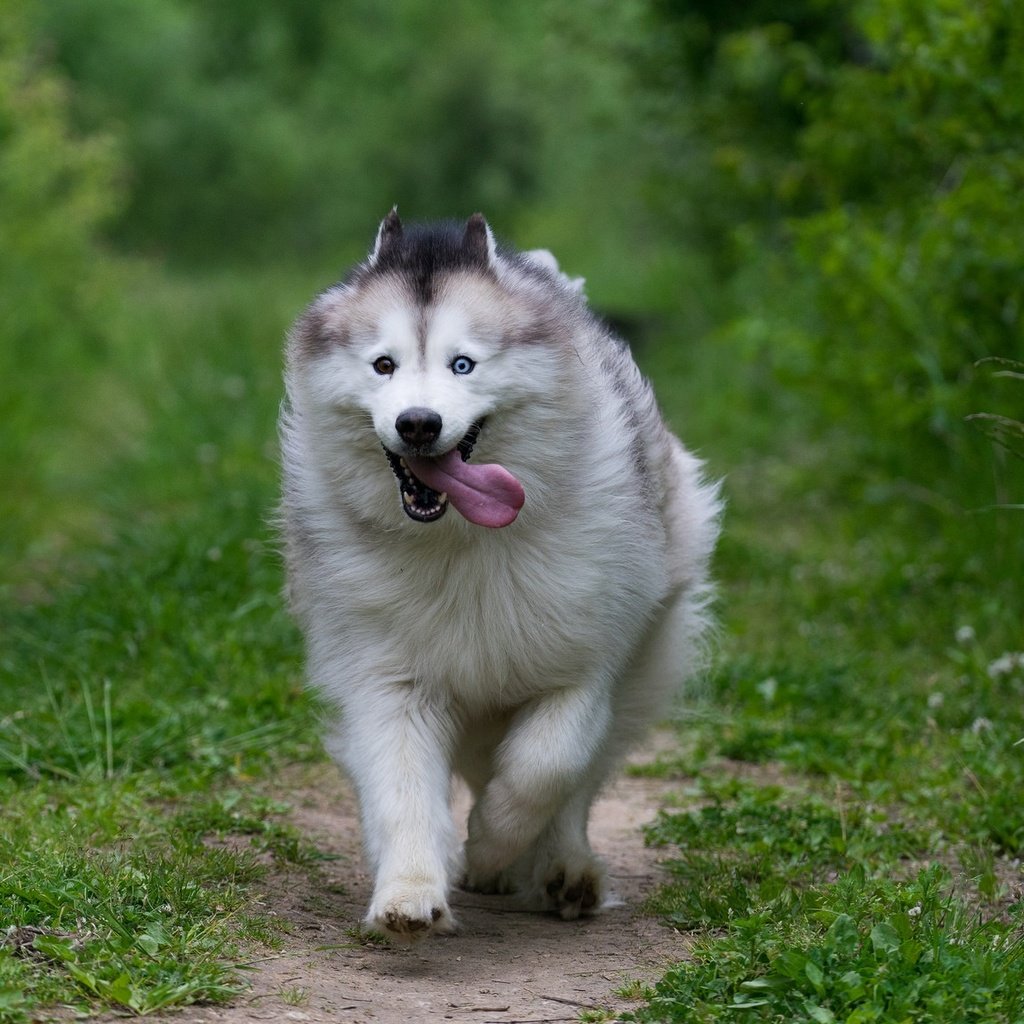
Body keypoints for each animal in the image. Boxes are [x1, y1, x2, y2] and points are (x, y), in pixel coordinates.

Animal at [280, 211, 720, 937]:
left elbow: (547, 767)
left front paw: (490, 842)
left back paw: (562, 871)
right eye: (383, 364)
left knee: (578, 782)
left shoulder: (584, 664)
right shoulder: (388, 677)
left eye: (463, 364)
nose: (418, 423)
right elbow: (402, 787)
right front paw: (409, 891)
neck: (465, 542)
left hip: (641, 665)